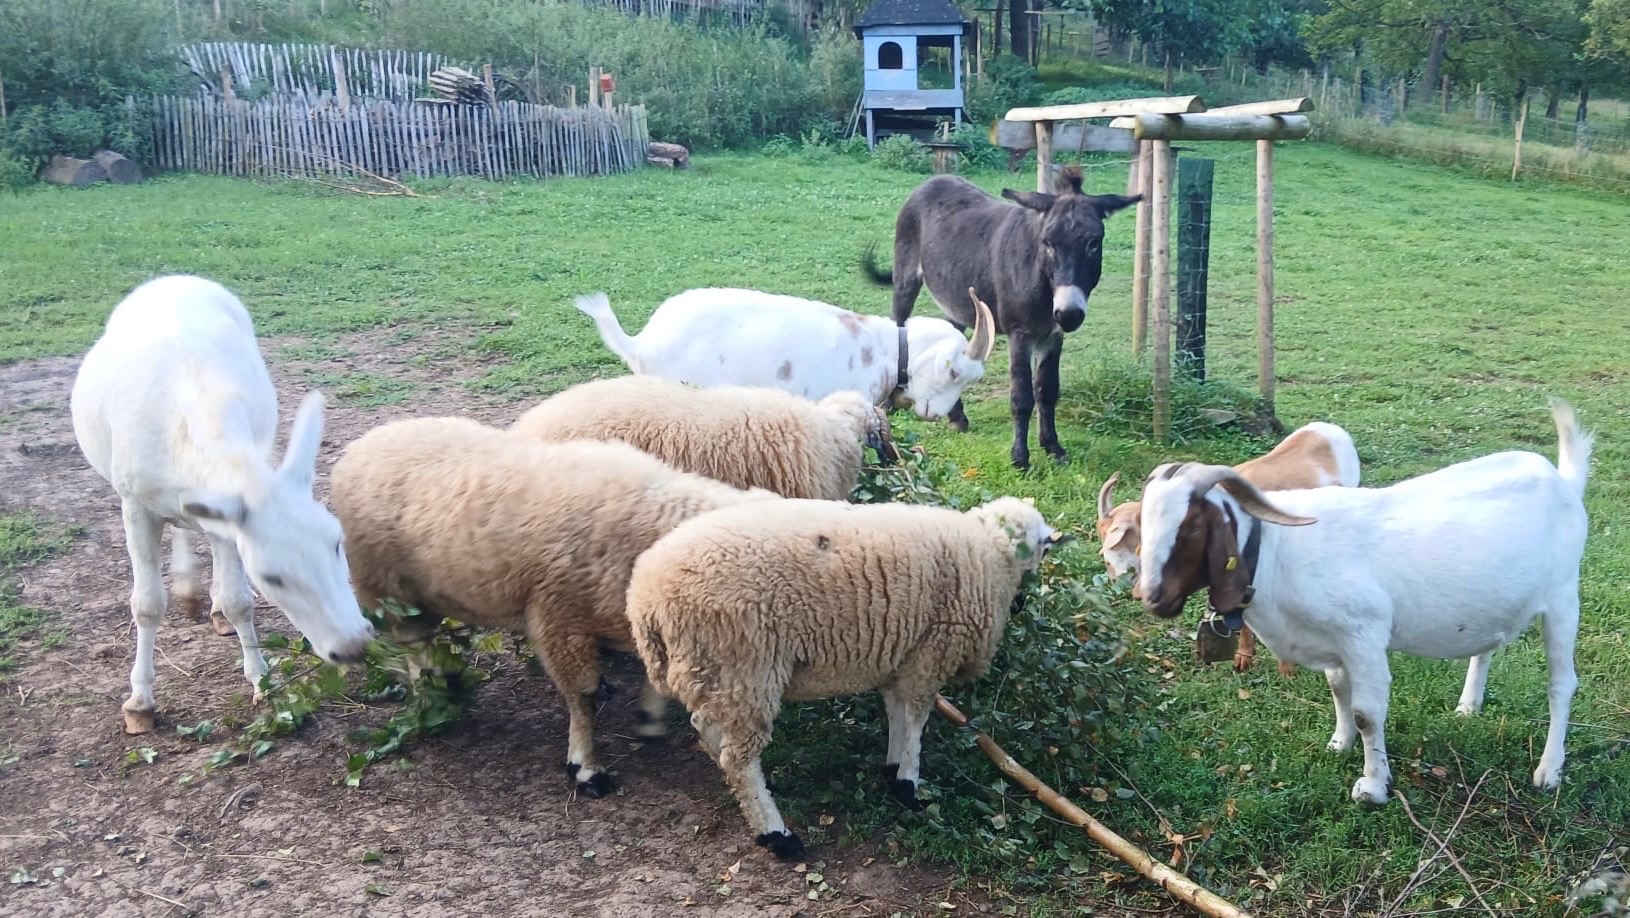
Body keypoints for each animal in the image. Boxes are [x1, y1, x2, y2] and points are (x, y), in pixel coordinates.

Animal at [69, 274, 374, 734]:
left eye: (337, 544)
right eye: (272, 576)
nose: (354, 645)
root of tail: (173, 276)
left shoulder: (228, 516)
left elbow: (238, 599)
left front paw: (262, 682)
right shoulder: (133, 500)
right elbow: (146, 604)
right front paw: (139, 703)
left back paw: (204, 602)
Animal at [327, 415, 781, 797]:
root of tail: (362, 445)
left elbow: (653, 677)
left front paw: (649, 719)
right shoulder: (558, 620)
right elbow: (583, 697)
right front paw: (586, 767)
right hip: (386, 587)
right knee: (412, 644)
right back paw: (435, 694)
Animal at [626, 495, 1065, 860]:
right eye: (1044, 544)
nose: (1026, 601)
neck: (987, 551)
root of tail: (645, 596)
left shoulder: (901, 655)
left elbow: (896, 712)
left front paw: (892, 770)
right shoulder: (929, 654)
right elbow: (915, 721)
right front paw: (909, 785)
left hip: (712, 670)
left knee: (710, 729)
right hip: (746, 666)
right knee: (739, 759)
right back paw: (776, 834)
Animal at [1132, 399, 1592, 805]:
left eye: (1192, 526)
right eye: (1144, 521)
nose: (1153, 597)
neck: (1279, 551)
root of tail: (1563, 481)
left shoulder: (1363, 636)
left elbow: (1367, 713)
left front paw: (1372, 787)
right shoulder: (1334, 644)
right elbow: (1339, 691)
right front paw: (1340, 743)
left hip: (1563, 598)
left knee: (1562, 684)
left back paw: (1549, 771)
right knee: (1487, 649)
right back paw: (1468, 707)